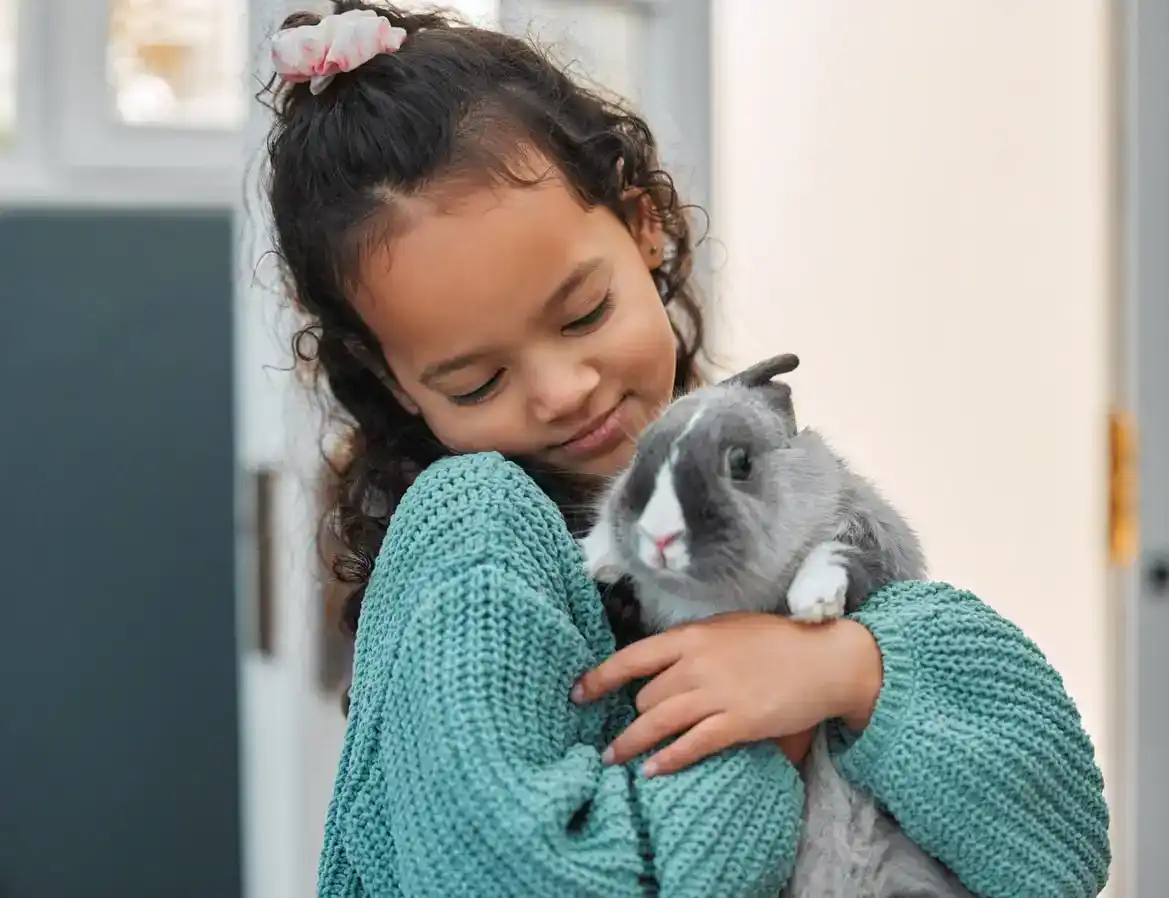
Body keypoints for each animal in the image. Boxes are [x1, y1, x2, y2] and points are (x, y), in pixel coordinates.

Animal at [579, 353, 974, 898]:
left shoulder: (873, 542)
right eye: (640, 454)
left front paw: (813, 604)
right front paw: (597, 556)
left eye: (741, 462)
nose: (659, 537)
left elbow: (837, 552)